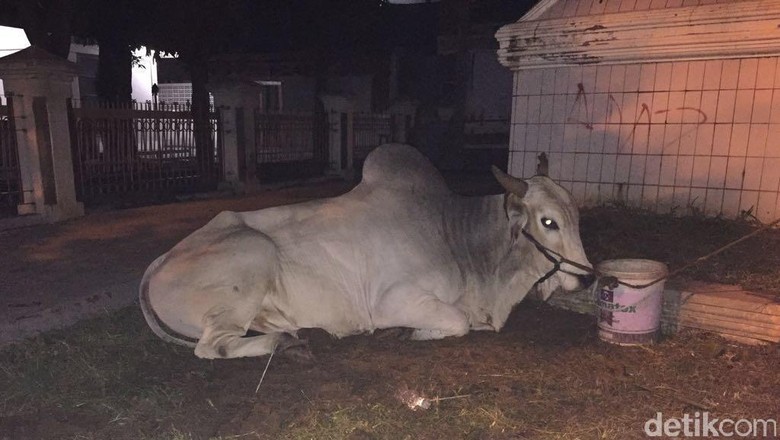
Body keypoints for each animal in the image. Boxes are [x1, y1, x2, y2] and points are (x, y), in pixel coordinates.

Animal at [139, 146, 592, 360]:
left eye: (575, 216)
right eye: (548, 222)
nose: (588, 276)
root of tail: (160, 261)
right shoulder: (393, 301)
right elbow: (457, 322)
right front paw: (407, 332)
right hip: (253, 253)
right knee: (211, 345)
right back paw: (284, 344)